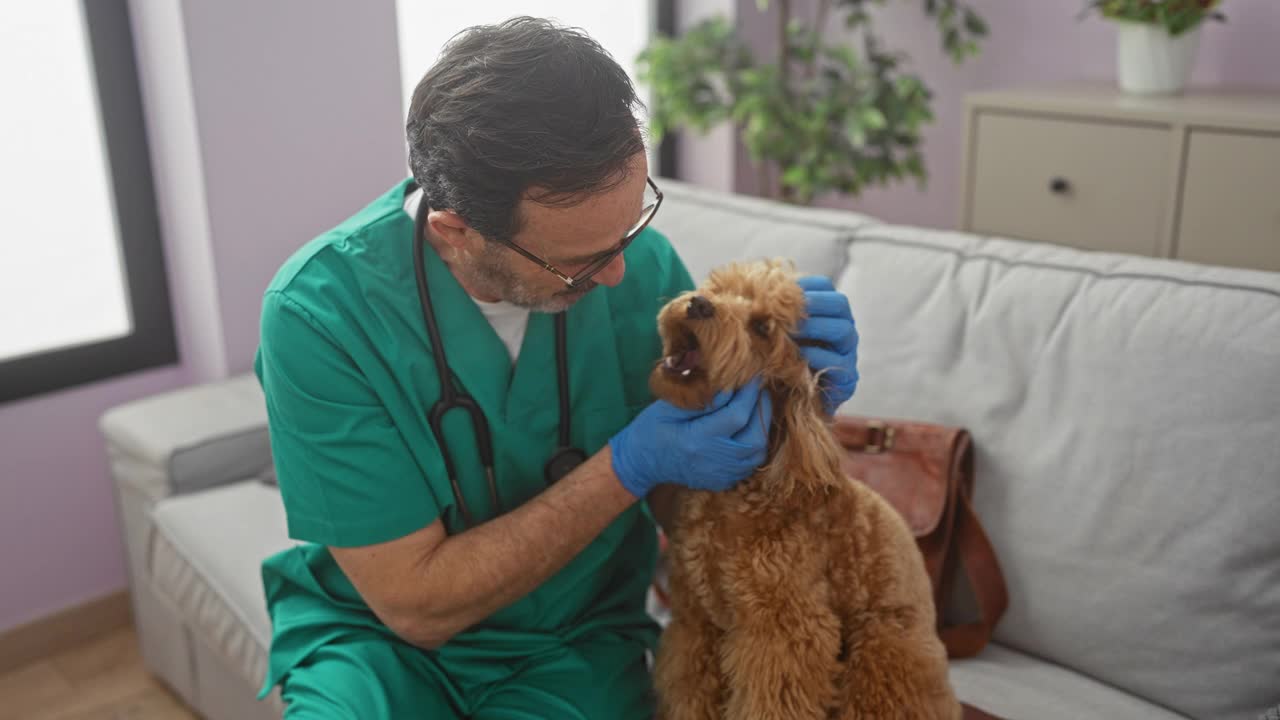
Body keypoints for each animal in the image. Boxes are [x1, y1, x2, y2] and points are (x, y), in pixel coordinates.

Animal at [650, 260, 962, 717]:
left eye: (762, 327)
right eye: (719, 289)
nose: (700, 303)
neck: (736, 496)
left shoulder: (785, 631)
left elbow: (768, 700)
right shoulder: (695, 624)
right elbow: (689, 694)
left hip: (884, 649)